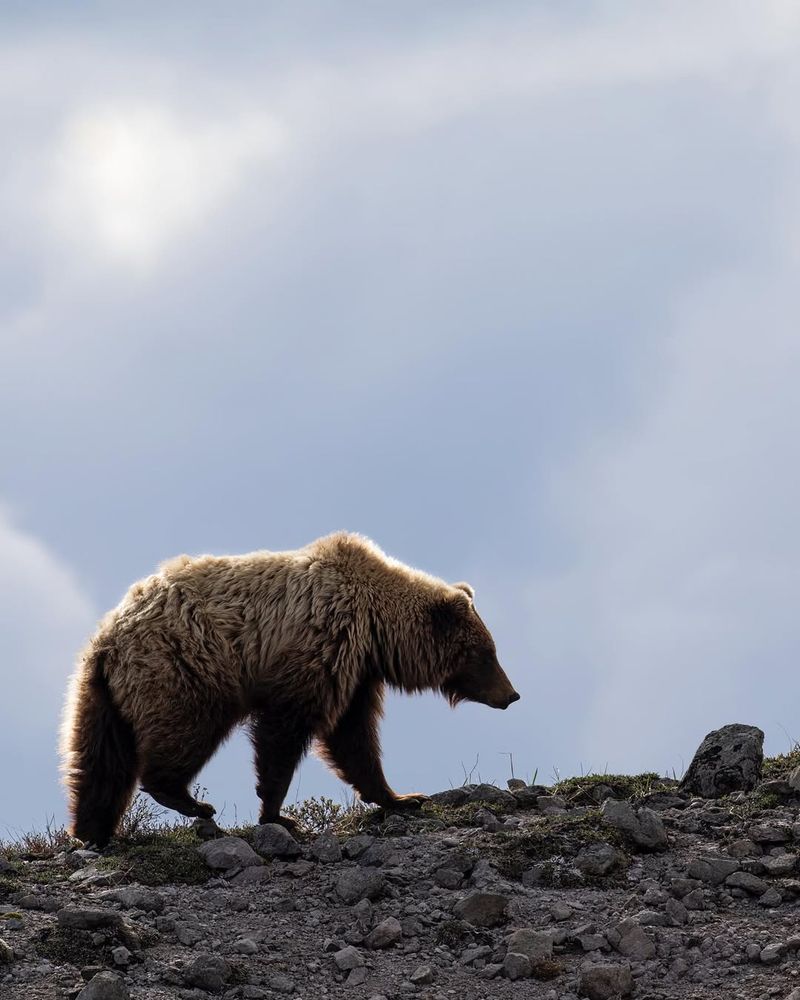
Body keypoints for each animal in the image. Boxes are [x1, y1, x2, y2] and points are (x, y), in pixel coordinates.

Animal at [57, 532, 520, 844]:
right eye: (487, 653)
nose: (512, 694)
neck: (374, 628)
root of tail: (110, 637)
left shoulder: (356, 675)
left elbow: (354, 739)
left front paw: (401, 797)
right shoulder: (319, 649)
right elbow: (286, 732)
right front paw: (277, 814)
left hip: (100, 695)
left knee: (98, 759)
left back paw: (92, 829)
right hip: (187, 668)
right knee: (185, 731)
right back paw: (189, 800)